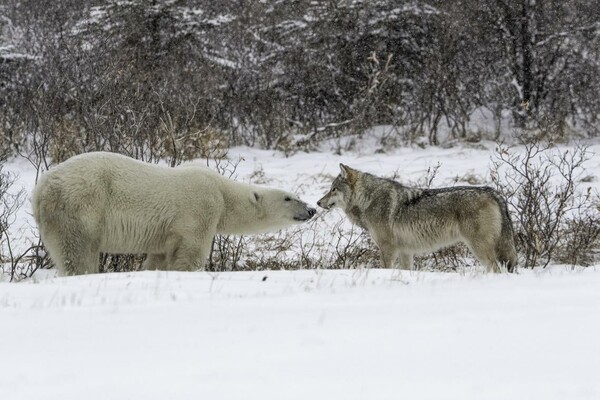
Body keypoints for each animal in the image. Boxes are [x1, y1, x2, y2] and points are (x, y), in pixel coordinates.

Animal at [31, 151, 318, 276]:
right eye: (289, 197)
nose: (312, 209)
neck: (222, 191)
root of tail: (41, 187)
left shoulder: (164, 233)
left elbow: (159, 257)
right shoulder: (200, 207)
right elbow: (191, 252)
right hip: (80, 205)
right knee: (78, 251)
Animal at [316, 164, 516, 274]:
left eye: (333, 189)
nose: (318, 202)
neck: (368, 199)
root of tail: (492, 192)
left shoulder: (387, 248)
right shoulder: (406, 251)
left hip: (478, 247)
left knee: (496, 269)